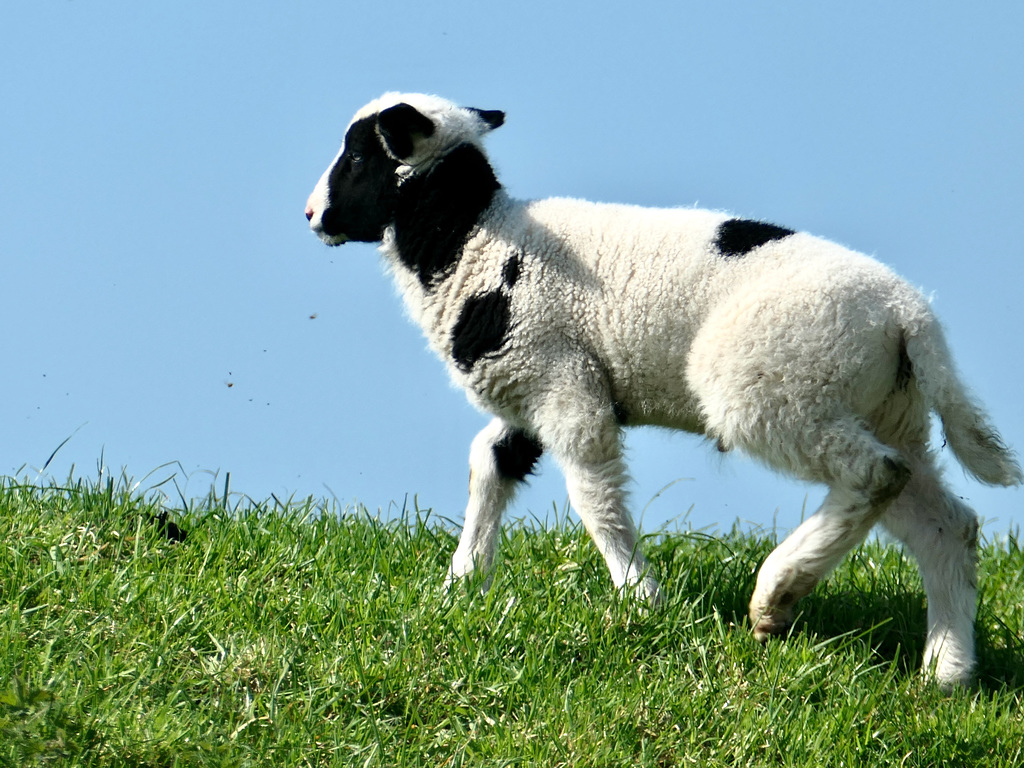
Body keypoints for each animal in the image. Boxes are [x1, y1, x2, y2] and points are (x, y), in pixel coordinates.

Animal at [301, 93, 1015, 688]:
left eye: (360, 155)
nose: (311, 216)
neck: (469, 243)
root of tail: (910, 315)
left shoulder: (563, 381)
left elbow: (591, 495)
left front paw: (640, 597)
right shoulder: (529, 387)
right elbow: (490, 463)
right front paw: (462, 583)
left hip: (774, 388)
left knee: (876, 474)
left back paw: (776, 595)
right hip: (886, 409)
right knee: (944, 522)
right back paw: (945, 672)